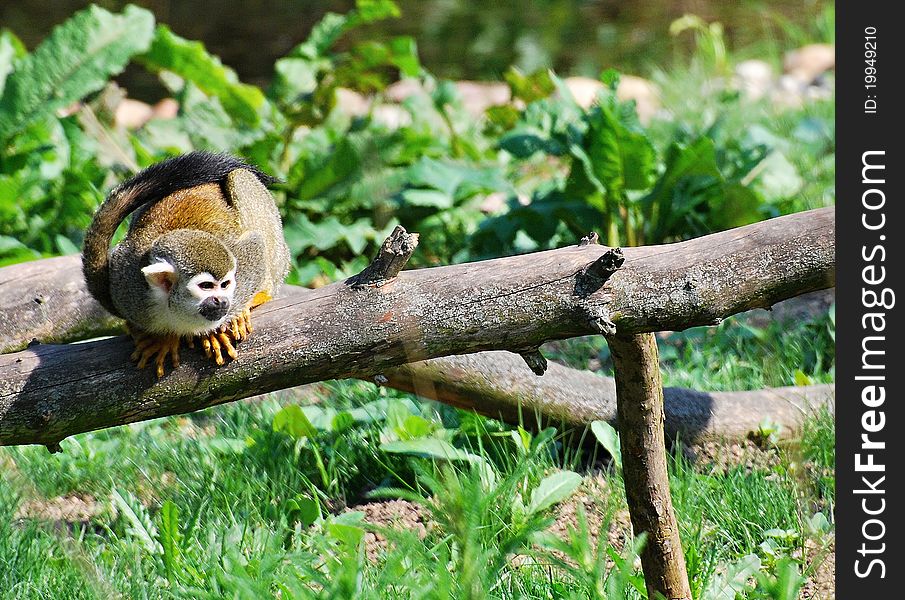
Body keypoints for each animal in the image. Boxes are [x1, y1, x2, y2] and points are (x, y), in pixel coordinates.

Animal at [83, 151, 290, 376]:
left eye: (225, 285)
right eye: (206, 286)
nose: (223, 301)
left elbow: (255, 245)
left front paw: (220, 326)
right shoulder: (127, 285)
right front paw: (164, 338)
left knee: (239, 177)